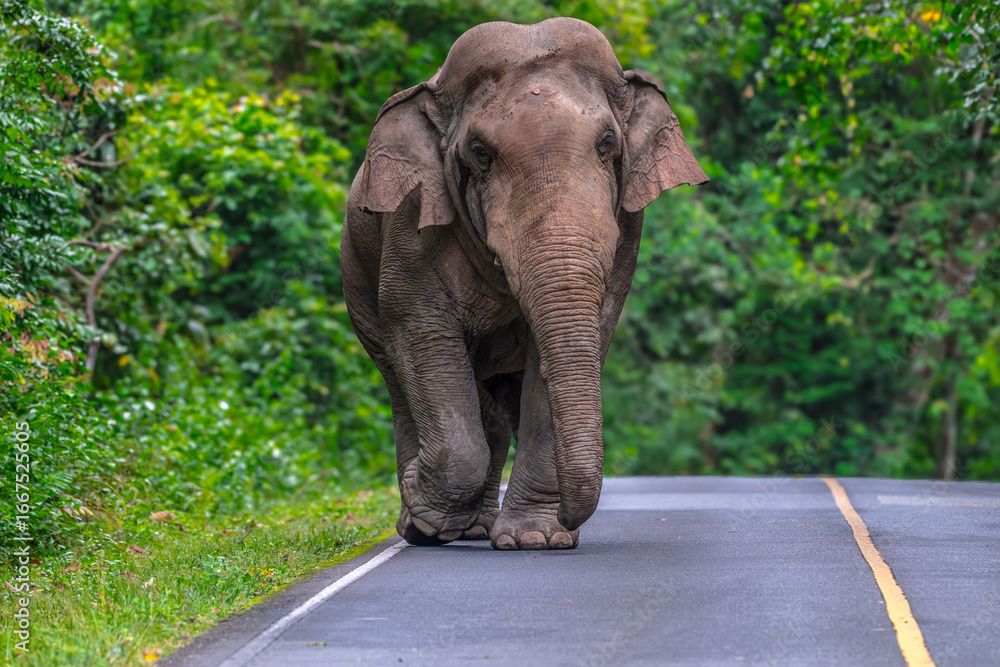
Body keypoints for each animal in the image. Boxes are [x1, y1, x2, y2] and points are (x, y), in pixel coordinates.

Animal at [341, 17, 707, 550]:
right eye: (480, 154)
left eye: (607, 144)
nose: (573, 522)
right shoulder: (411, 221)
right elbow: (422, 334)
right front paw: (426, 518)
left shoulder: (627, 227)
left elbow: (574, 342)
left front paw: (536, 539)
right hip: (358, 281)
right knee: (401, 381)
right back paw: (425, 521)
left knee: (494, 410)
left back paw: (473, 524)